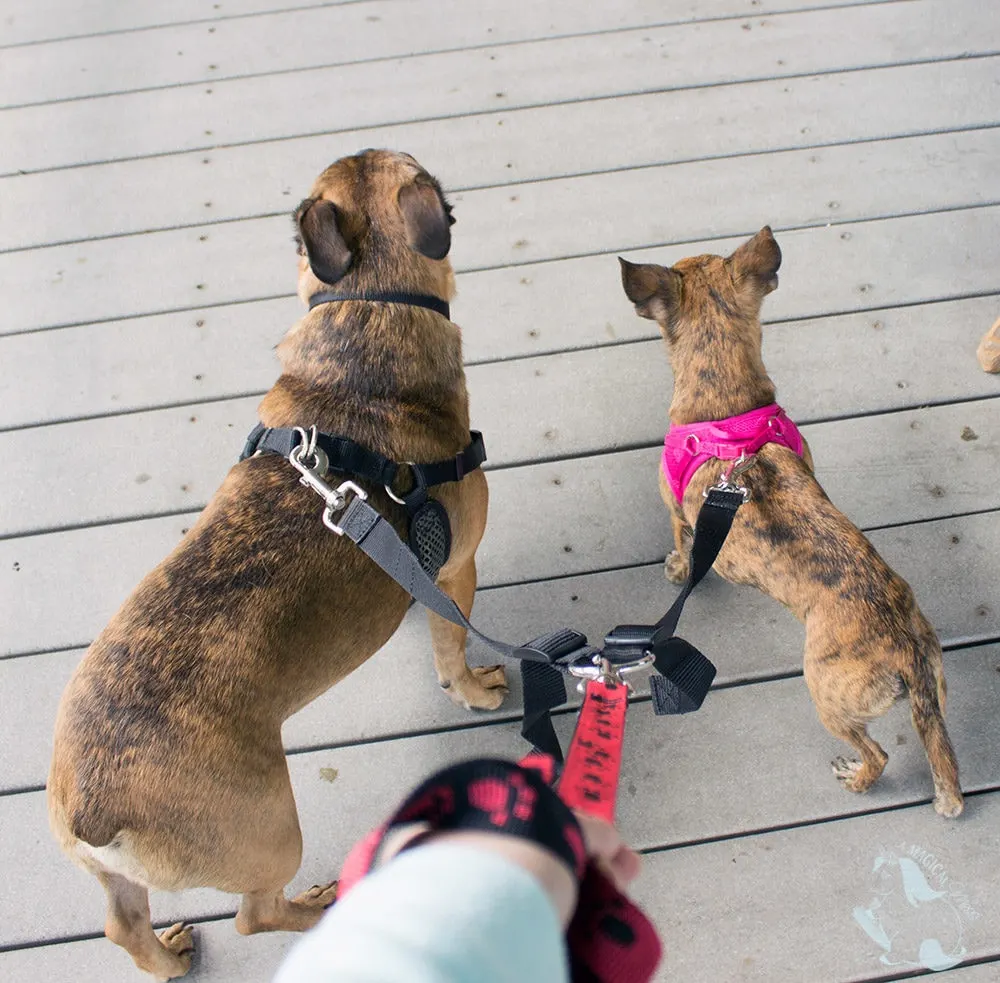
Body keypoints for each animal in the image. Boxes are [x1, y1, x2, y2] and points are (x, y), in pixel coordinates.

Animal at [47, 150, 508, 980]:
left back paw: (167, 956)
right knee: (254, 912)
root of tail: (92, 806)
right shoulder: (456, 569)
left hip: (124, 880)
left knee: (122, 923)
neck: (364, 310)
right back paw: (318, 904)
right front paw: (474, 687)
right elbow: (452, 646)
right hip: (270, 829)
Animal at [624, 227, 960, 820]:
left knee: (877, 755)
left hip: (824, 691)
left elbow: (684, 550)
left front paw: (677, 570)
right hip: (935, 689)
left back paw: (856, 778)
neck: (729, 409)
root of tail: (905, 645)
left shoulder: (675, 513)